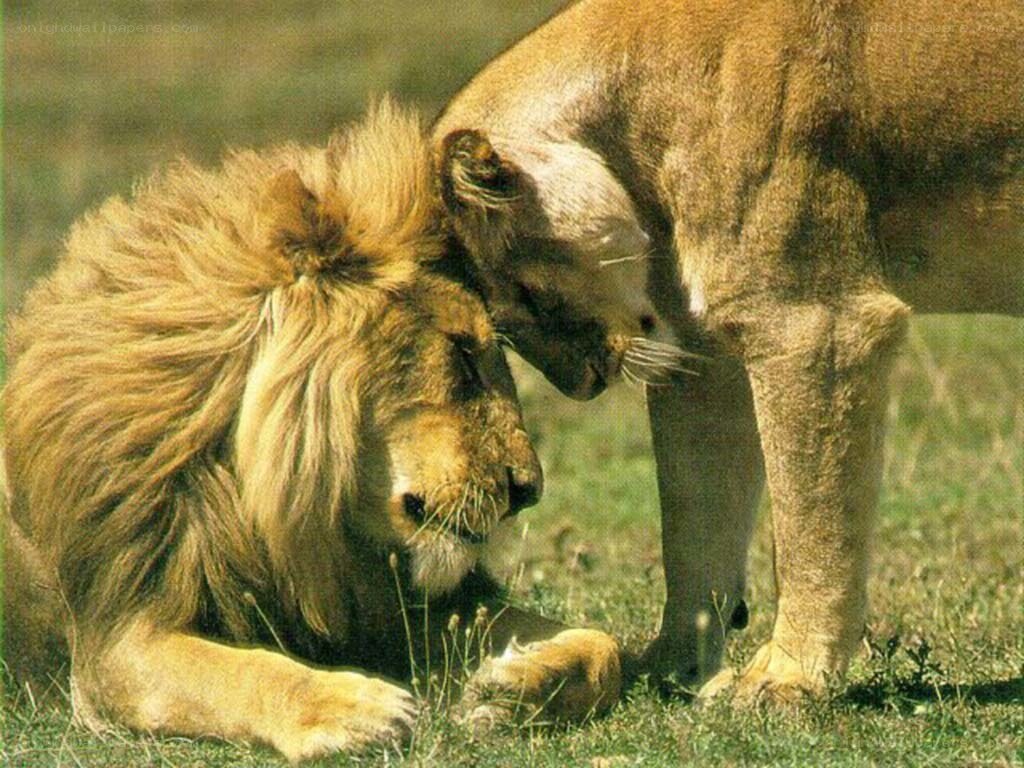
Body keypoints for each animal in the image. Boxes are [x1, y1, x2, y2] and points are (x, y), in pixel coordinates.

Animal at [2, 102, 621, 762]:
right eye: (461, 352)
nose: (528, 489)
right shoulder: (120, 639)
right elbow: (246, 671)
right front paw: (352, 705)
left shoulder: (397, 605)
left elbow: (604, 645)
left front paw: (512, 686)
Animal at [428, 0, 1023, 704]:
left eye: (526, 293)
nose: (585, 385)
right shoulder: (704, 359)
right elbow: (692, 525)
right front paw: (673, 670)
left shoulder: (814, 322)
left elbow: (809, 521)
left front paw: (787, 677)